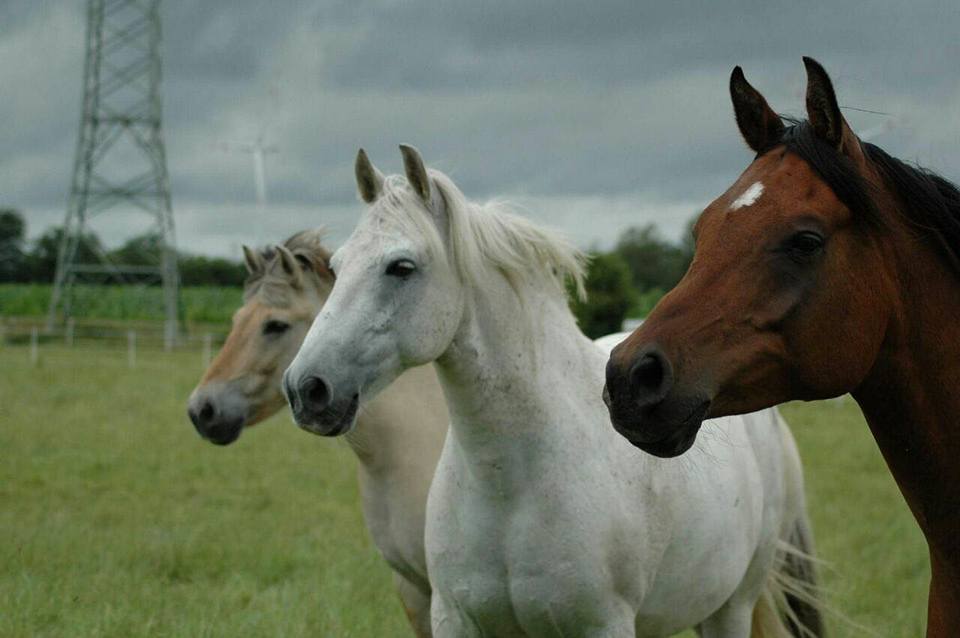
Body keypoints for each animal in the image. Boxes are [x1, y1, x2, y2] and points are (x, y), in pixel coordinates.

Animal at [283, 145, 823, 637]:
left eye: (400, 267)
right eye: (338, 265)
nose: (306, 388)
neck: (510, 484)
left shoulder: (602, 625)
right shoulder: (455, 619)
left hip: (731, 607)